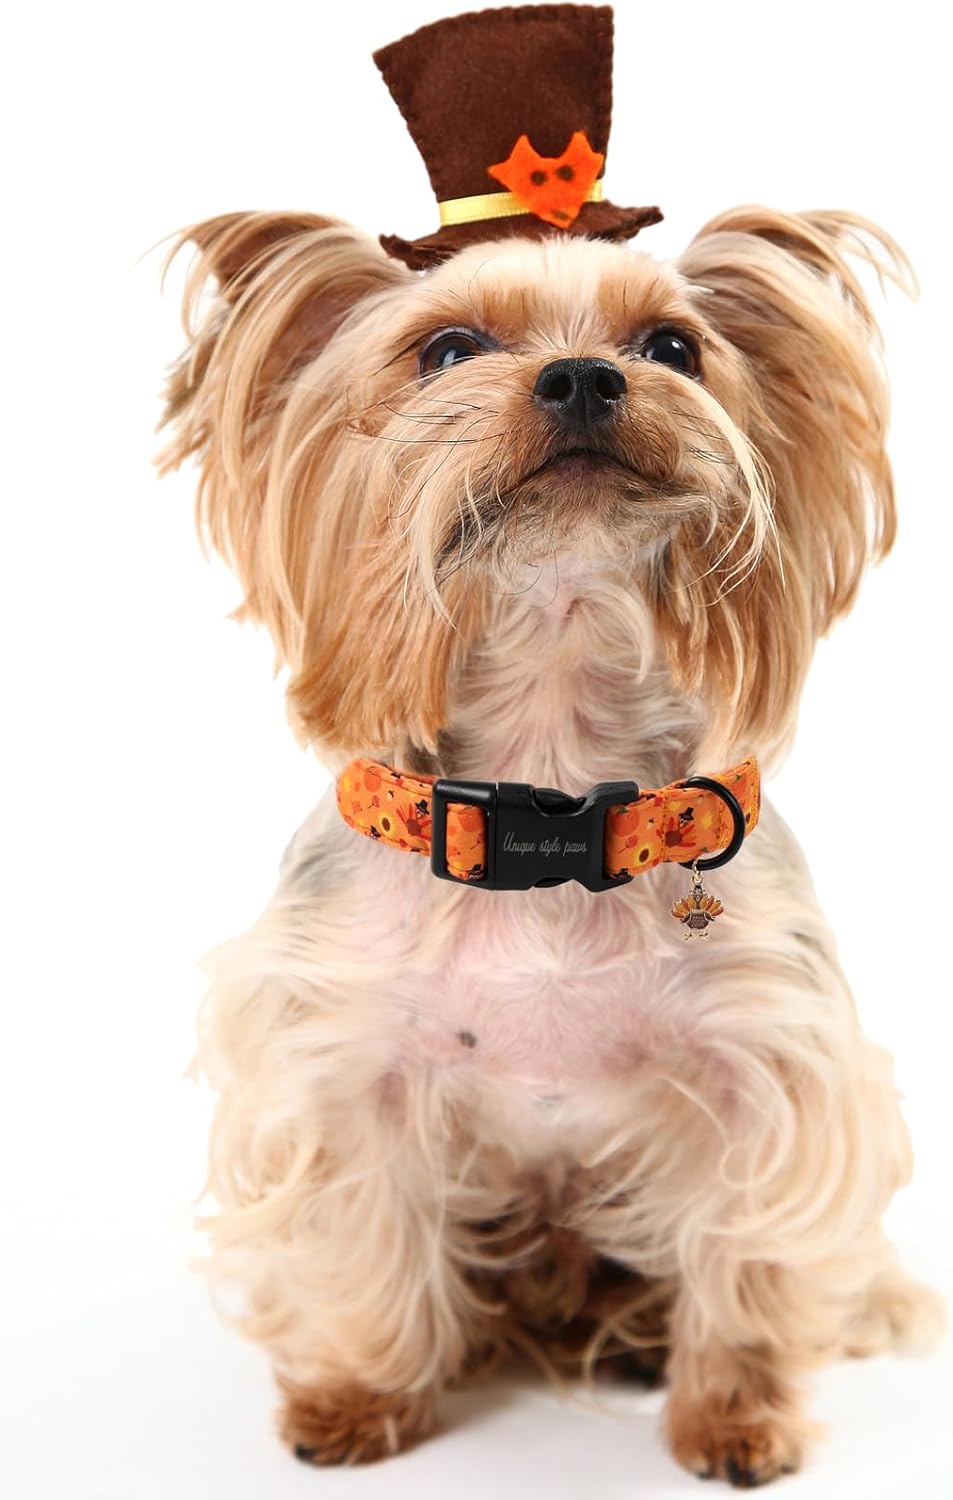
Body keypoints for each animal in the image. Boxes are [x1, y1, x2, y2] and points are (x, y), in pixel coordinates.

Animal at [158, 5, 941, 1486]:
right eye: (446, 349)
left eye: (676, 347)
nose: (583, 375)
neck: (553, 776)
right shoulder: (340, 1062)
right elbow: (363, 1234)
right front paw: (359, 1397)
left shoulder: (769, 1069)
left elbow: (748, 1258)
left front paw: (735, 1416)